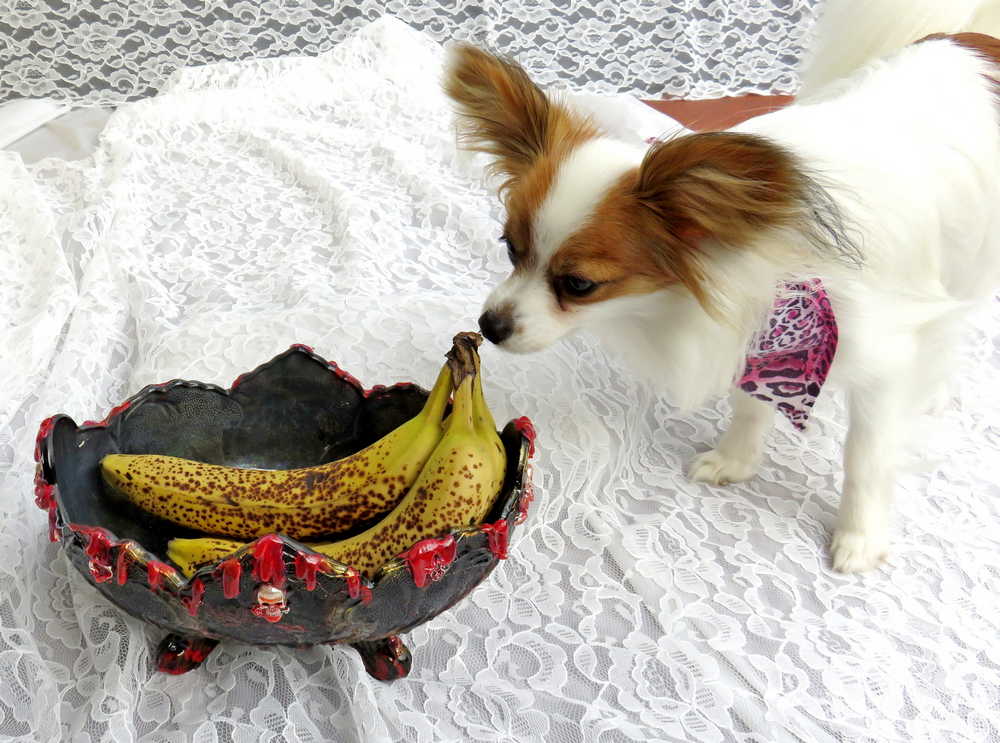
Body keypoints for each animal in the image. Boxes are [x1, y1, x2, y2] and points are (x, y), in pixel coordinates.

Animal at [444, 0, 1000, 576]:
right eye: (510, 249)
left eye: (579, 284)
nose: (489, 325)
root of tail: (972, 40)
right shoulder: (761, 335)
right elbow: (751, 405)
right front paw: (737, 459)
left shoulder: (880, 362)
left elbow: (866, 456)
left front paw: (860, 536)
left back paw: (935, 389)